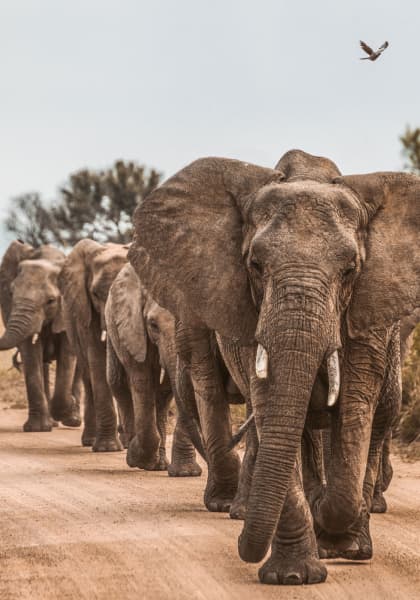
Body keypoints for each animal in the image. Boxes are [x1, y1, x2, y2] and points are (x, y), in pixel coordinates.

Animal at [0, 239, 81, 432]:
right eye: (11, 294)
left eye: (51, 301)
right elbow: (30, 353)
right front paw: (37, 429)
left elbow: (68, 355)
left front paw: (67, 408)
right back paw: (52, 422)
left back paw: (73, 419)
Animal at [58, 239, 128, 450]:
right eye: (96, 294)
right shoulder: (85, 310)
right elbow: (97, 360)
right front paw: (107, 448)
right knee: (88, 376)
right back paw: (91, 441)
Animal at [105, 264, 203, 476]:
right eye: (153, 325)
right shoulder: (132, 328)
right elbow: (142, 380)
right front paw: (135, 457)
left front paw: (185, 474)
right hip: (113, 327)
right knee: (117, 382)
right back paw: (133, 450)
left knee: (163, 394)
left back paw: (158, 465)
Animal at [128, 151, 420, 584]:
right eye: (255, 265)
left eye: (350, 269)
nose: (241, 545)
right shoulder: (251, 316)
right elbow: (271, 410)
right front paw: (293, 576)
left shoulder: (369, 313)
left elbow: (355, 413)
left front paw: (339, 542)